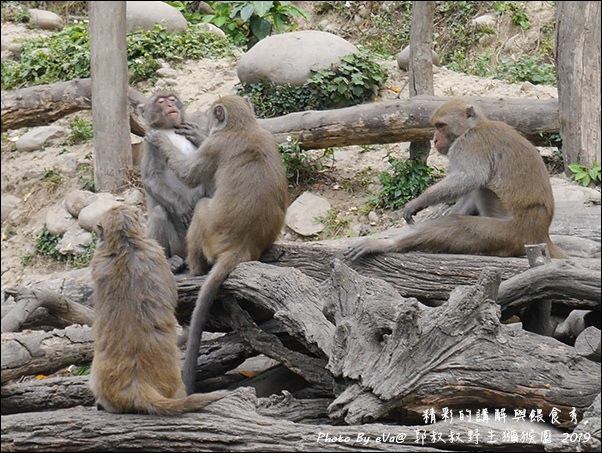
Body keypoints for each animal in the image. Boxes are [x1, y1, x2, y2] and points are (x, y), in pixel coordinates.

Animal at [141, 90, 209, 264]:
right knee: (159, 212)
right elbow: (151, 177)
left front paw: (197, 135)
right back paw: (170, 261)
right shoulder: (148, 142)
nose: (170, 105)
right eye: (161, 101)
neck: (169, 128)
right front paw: (181, 207)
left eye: (171, 99)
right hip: (176, 244)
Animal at [344, 98, 564, 262]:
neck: (474, 128)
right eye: (435, 127)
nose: (434, 139)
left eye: (441, 126)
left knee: (460, 221)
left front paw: (417, 203)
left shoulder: (468, 145)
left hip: (506, 233)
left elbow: (470, 177)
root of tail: (541, 234)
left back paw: (386, 245)